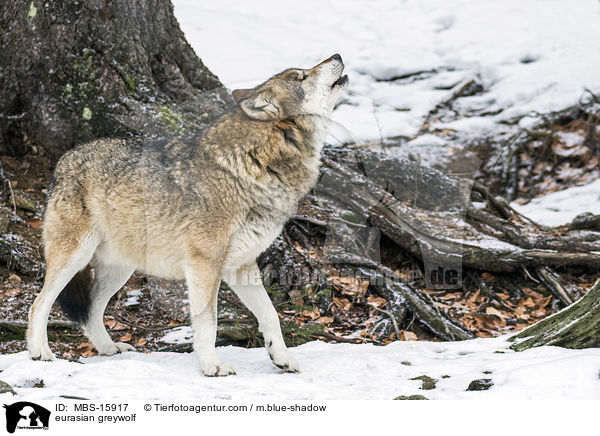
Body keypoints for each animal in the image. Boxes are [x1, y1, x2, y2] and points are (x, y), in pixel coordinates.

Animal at [25, 53, 350, 374]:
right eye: (301, 76)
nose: (337, 54)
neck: (257, 163)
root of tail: (64, 161)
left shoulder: (241, 266)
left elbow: (271, 315)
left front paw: (281, 357)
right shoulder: (204, 264)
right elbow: (208, 322)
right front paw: (212, 366)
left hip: (121, 269)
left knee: (91, 310)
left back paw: (109, 348)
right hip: (74, 257)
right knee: (39, 303)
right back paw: (40, 352)